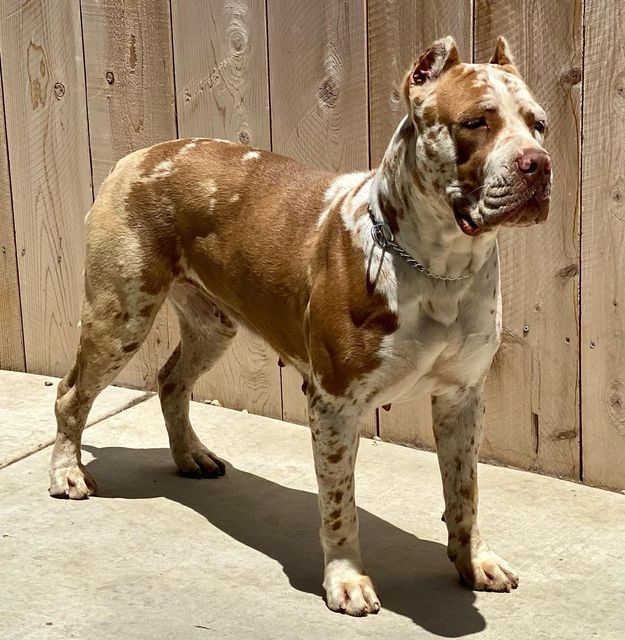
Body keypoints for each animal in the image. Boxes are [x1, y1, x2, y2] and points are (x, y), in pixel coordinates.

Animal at [50, 37, 552, 616]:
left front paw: (474, 561)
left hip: (211, 325)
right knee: (70, 395)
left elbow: (464, 491)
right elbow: (340, 504)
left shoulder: (462, 398)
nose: (538, 165)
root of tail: (140, 155)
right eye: (475, 122)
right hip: (120, 316)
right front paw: (346, 580)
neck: (441, 268)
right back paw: (66, 472)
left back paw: (191, 456)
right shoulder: (334, 402)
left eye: (539, 125)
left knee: (171, 380)